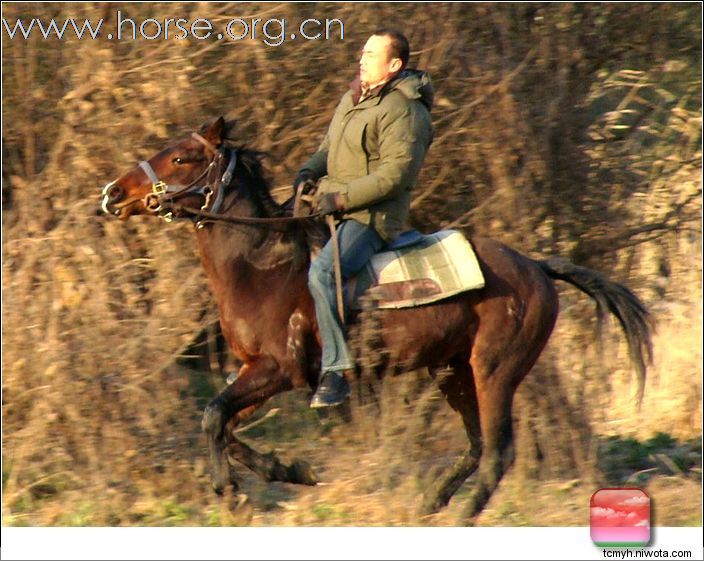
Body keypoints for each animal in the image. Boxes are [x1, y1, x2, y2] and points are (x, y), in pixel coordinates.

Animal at [102, 116, 652, 524]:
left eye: (180, 157)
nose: (113, 193)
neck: (261, 264)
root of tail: (536, 267)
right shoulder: (253, 371)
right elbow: (223, 425)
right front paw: (292, 469)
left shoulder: (278, 370)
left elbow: (214, 415)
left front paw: (232, 492)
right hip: (452, 372)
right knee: (477, 446)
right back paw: (431, 502)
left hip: (494, 371)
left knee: (499, 452)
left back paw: (460, 516)